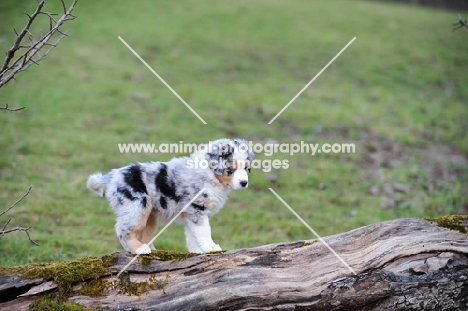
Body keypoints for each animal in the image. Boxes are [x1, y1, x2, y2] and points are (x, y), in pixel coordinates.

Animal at [86, 139, 254, 256]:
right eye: (230, 169)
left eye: (246, 168)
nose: (244, 183)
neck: (209, 174)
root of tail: (113, 175)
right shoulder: (197, 210)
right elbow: (204, 232)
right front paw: (211, 248)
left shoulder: (190, 215)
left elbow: (192, 236)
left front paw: (197, 253)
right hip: (137, 206)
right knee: (123, 230)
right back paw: (139, 249)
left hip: (149, 215)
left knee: (143, 234)